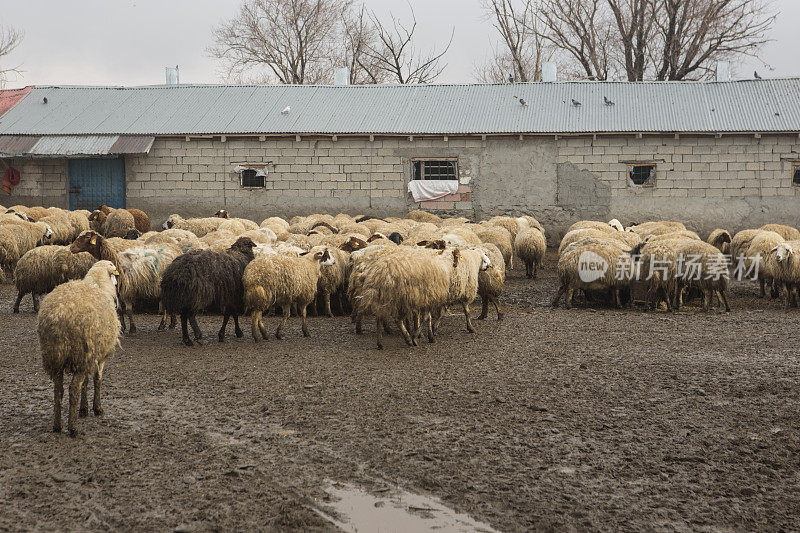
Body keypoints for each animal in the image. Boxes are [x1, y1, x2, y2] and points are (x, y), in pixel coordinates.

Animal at [37, 258, 119, 436]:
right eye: (113, 269)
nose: (117, 283)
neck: (99, 284)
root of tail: (59, 316)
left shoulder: (90, 357)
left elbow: (86, 382)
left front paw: (84, 409)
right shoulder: (99, 356)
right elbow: (97, 379)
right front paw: (96, 408)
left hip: (55, 356)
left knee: (58, 389)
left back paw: (57, 426)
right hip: (80, 354)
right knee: (73, 388)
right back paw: (73, 428)